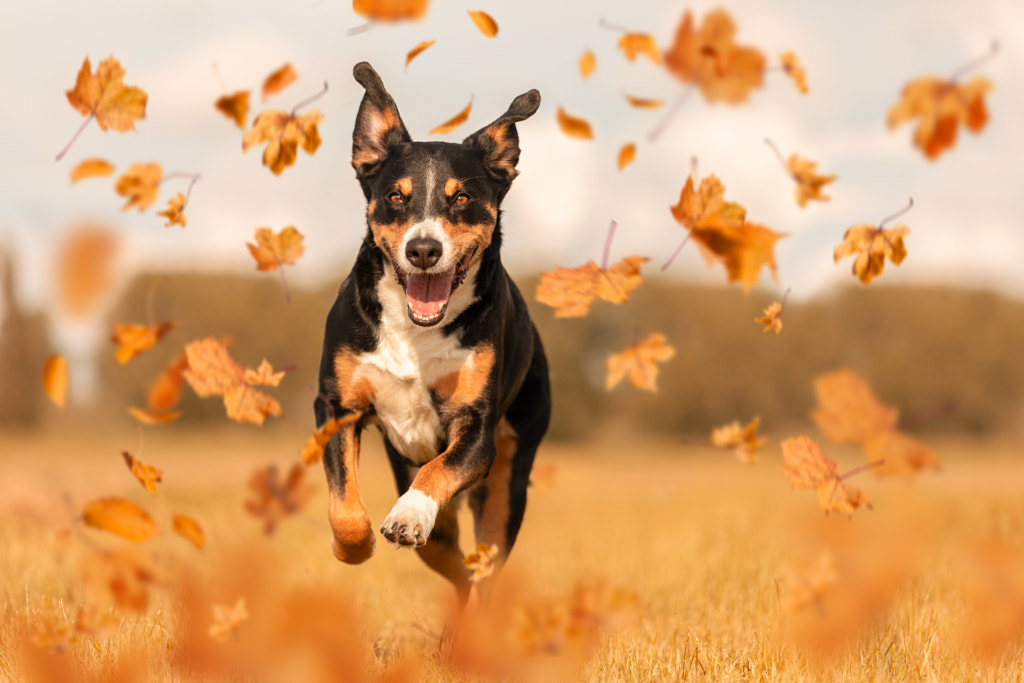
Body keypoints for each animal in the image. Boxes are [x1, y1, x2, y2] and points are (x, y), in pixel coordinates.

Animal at [313, 61, 552, 602]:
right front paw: (351, 547)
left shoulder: (476, 430)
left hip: (507, 480)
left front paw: (407, 514)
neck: (414, 332)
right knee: (459, 570)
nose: (423, 249)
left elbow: (438, 468)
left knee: (483, 567)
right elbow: (344, 503)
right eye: (394, 197)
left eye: (461, 197)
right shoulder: (336, 405)